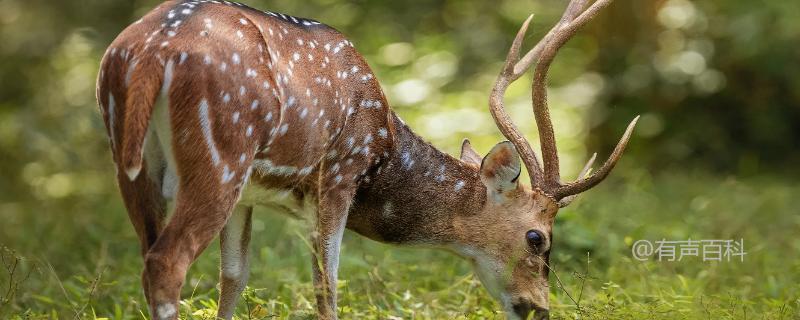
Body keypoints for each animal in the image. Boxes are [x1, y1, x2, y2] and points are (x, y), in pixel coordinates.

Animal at [94, 0, 636, 318]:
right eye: (537, 238)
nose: (540, 308)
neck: (384, 148)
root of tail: (149, 50)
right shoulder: (338, 172)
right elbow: (327, 284)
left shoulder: (251, 196)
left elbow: (234, 279)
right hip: (221, 152)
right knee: (167, 261)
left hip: (135, 162)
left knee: (148, 254)